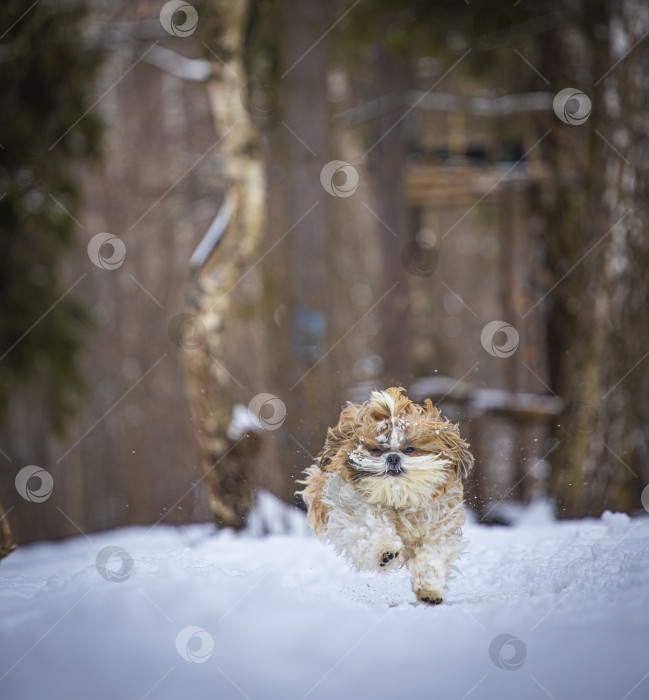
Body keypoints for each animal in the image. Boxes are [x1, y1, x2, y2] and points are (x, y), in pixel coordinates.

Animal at [298, 386, 470, 604]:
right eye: (377, 450)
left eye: (409, 449)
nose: (393, 457)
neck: (398, 498)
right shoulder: (351, 511)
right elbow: (369, 527)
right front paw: (384, 552)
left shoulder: (439, 523)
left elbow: (432, 553)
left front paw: (429, 588)